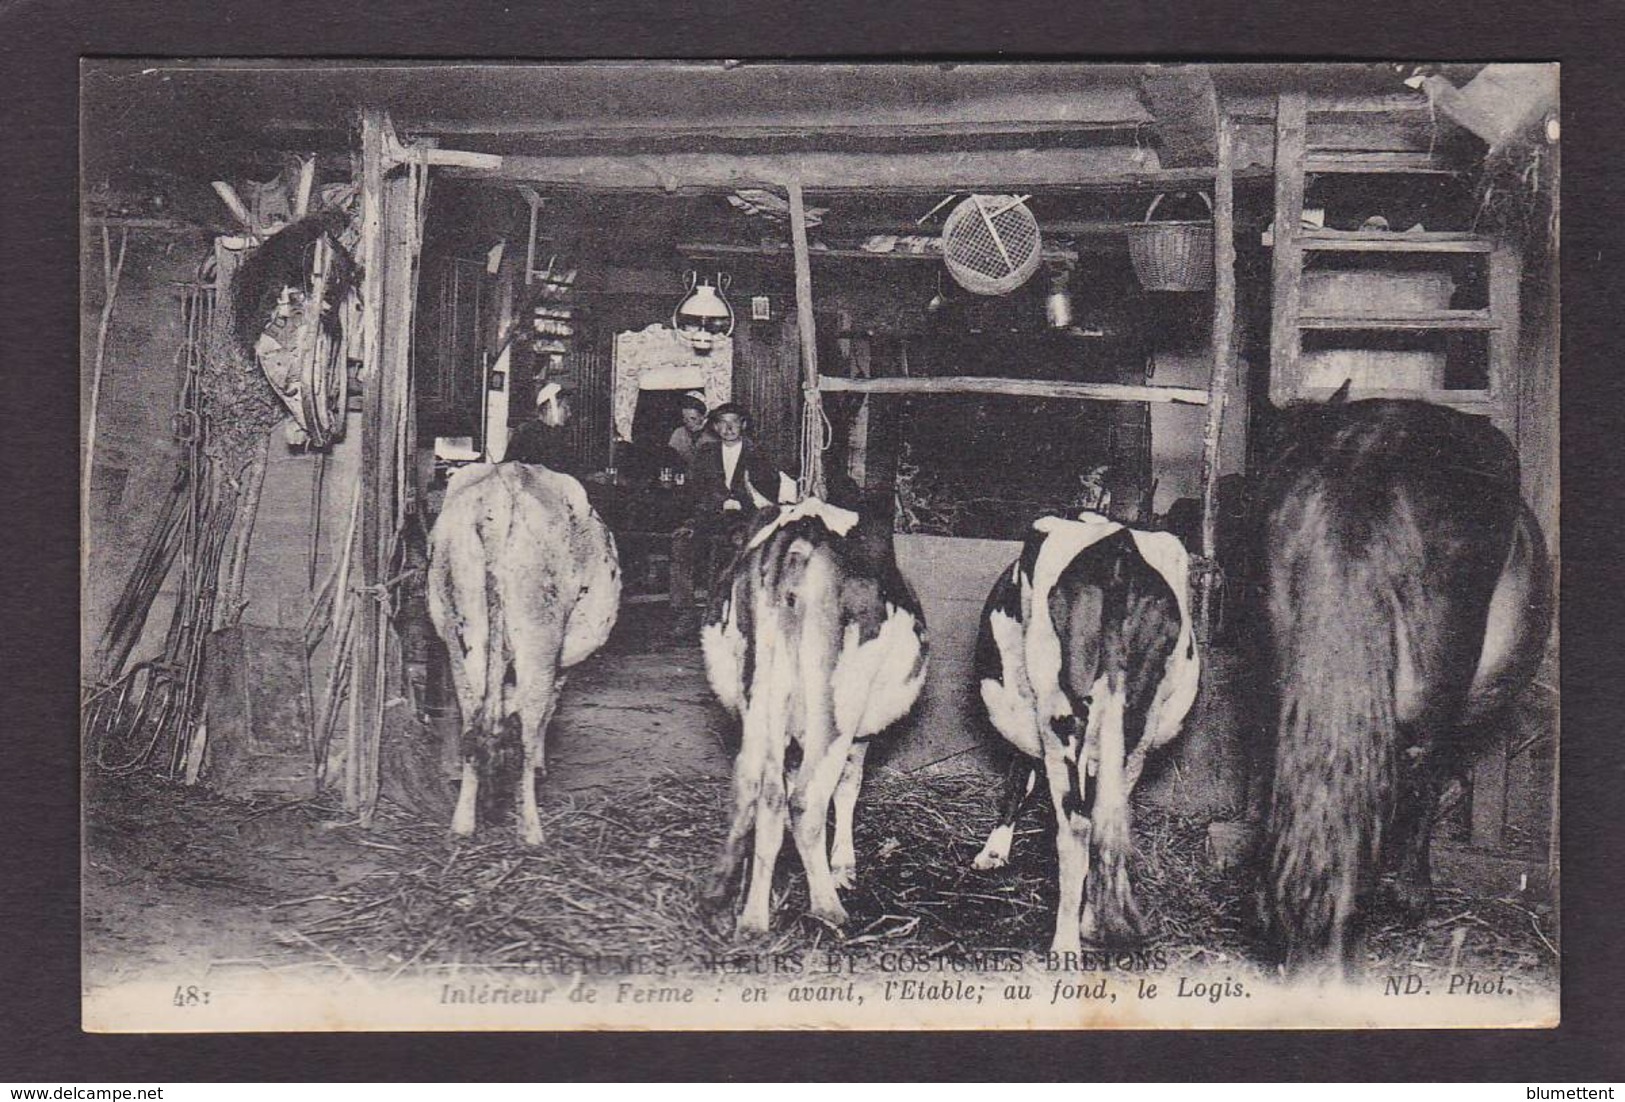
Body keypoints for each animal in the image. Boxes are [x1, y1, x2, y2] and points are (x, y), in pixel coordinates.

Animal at [425, 461, 620, 851]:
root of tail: (502, 490)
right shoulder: (562, 661)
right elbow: (548, 709)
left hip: (462, 636)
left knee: (473, 722)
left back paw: (463, 823)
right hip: (538, 640)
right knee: (527, 727)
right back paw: (531, 830)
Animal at [698, 497, 929, 936]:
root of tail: (798, 526)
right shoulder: (858, 733)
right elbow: (848, 787)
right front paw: (842, 867)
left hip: (758, 690)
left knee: (759, 790)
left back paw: (746, 916)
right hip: (838, 702)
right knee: (805, 800)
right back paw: (828, 908)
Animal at [962, 513, 1209, 955]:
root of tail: (1120, 546)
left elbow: (1018, 777)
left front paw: (993, 852)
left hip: (1058, 712)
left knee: (1075, 826)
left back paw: (1065, 945)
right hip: (1137, 722)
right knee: (1104, 822)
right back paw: (1094, 923)